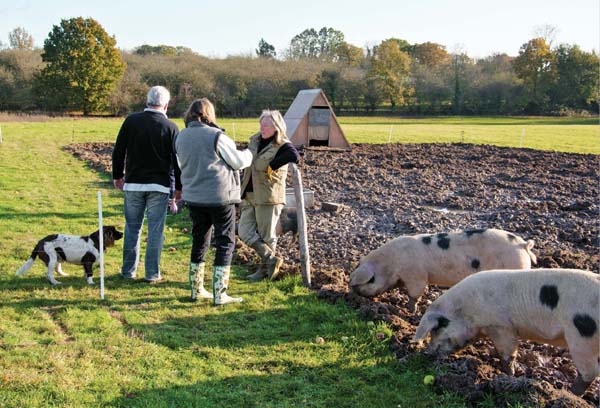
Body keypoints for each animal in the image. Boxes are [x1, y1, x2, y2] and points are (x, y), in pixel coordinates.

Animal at [346, 228, 536, 310]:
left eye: (368, 281)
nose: (356, 296)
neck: (391, 264)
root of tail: (523, 245)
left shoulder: (417, 275)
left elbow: (415, 293)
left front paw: (410, 310)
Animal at [414, 270, 596, 394]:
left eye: (439, 326)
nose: (428, 353)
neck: (467, 311)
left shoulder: (501, 326)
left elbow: (507, 353)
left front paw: (509, 375)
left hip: (582, 339)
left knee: (589, 373)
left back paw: (569, 394)